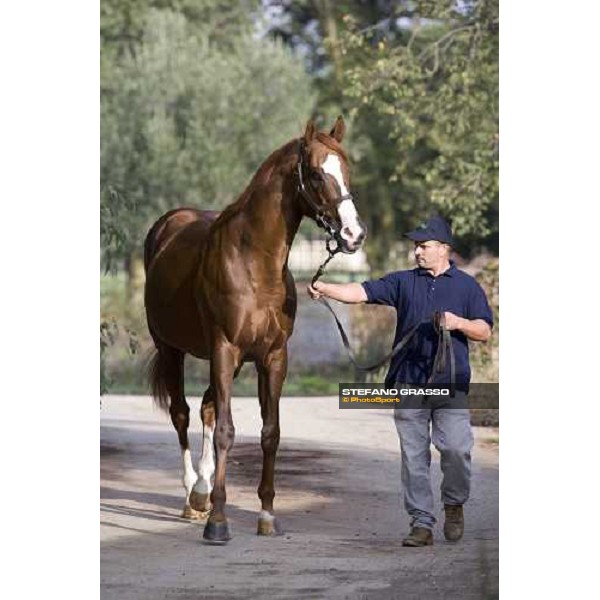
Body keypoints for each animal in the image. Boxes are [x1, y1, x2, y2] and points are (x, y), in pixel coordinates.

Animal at [142, 117, 366, 544]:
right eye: (316, 174)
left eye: (347, 170)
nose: (352, 235)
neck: (254, 264)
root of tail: (168, 224)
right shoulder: (224, 348)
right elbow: (227, 431)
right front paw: (218, 522)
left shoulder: (272, 357)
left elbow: (270, 432)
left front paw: (266, 516)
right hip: (172, 349)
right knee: (182, 414)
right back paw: (191, 496)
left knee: (207, 408)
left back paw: (202, 491)